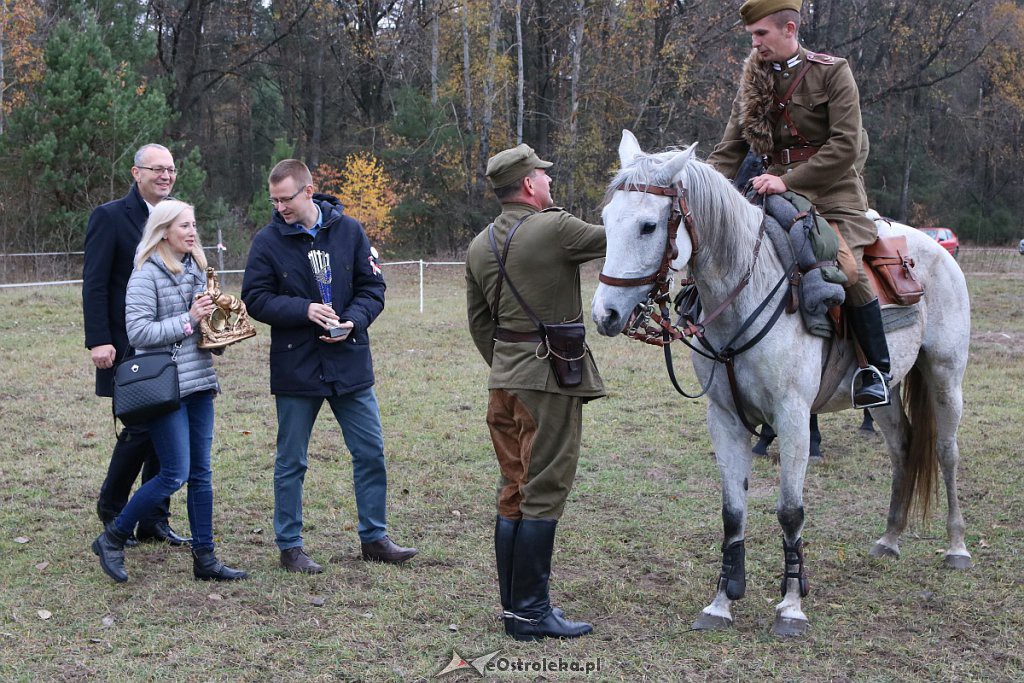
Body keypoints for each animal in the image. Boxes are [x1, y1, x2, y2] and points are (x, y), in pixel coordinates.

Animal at [593, 131, 966, 638]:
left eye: (649, 226)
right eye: (607, 221)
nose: (605, 314)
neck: (746, 292)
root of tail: (935, 248)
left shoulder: (792, 417)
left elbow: (791, 511)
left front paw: (791, 606)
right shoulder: (725, 418)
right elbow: (732, 511)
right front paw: (721, 602)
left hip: (946, 376)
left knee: (946, 452)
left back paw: (956, 546)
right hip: (885, 391)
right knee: (904, 447)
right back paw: (890, 538)